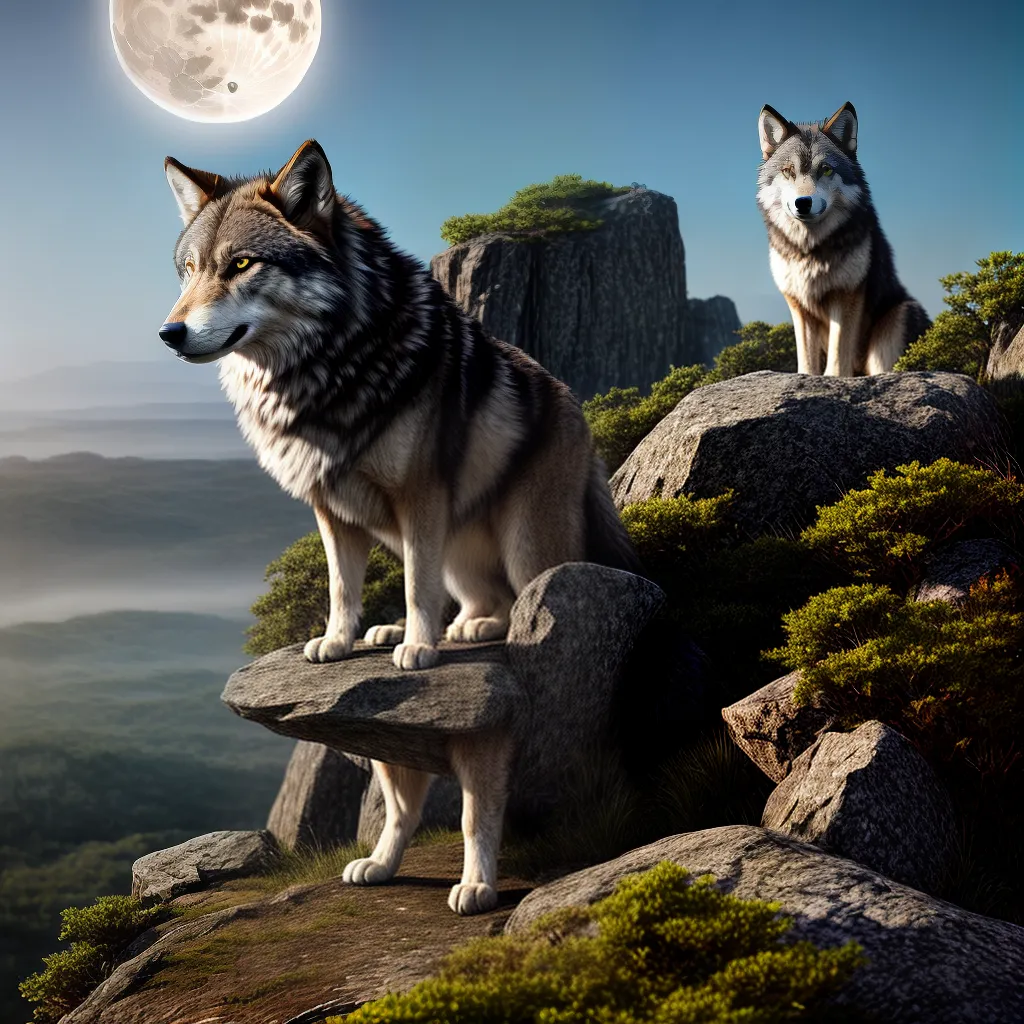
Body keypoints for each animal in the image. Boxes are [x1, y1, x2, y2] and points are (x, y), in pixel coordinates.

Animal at [160, 139, 641, 913]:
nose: (170, 333)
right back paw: (431, 636)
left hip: (522, 538)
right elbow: (342, 586)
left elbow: (415, 584)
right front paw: (340, 641)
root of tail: (577, 411)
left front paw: (416, 648)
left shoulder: (420, 499)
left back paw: (450, 636)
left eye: (242, 264)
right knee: (475, 603)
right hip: (463, 547)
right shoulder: (329, 506)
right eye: (189, 269)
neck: (322, 373)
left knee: (520, 603)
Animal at [756, 102, 930, 376]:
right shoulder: (799, 305)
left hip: (898, 320)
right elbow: (806, 361)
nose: (803, 203)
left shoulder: (846, 295)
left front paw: (834, 379)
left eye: (826, 169)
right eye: (788, 171)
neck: (811, 250)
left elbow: (838, 353)